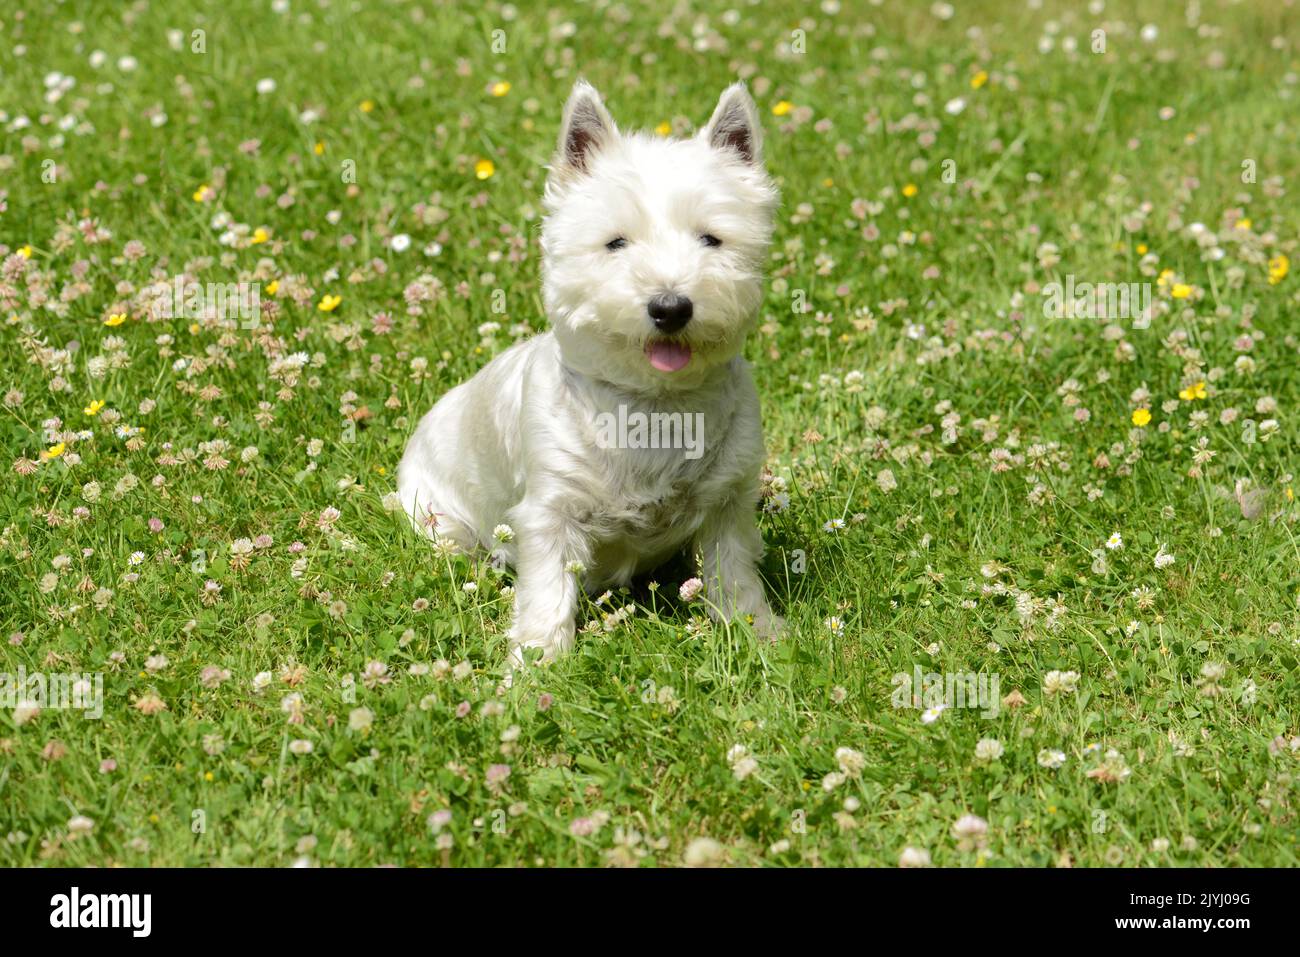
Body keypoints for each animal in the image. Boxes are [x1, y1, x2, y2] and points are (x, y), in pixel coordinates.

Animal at [395, 78, 780, 670]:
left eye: (712, 239)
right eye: (615, 242)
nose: (671, 307)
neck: (653, 407)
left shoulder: (727, 503)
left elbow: (735, 574)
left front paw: (761, 634)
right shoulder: (548, 513)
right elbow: (547, 593)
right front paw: (535, 666)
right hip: (440, 518)